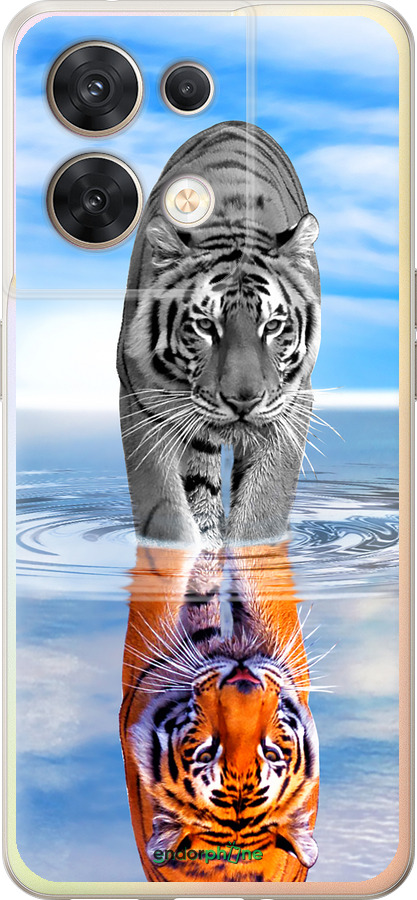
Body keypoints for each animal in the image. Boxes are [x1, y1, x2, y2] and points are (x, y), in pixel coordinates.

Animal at [117, 121, 321, 548]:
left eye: (272, 326)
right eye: (206, 326)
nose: (243, 401)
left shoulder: (292, 405)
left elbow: (262, 508)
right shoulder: (141, 401)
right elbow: (165, 511)